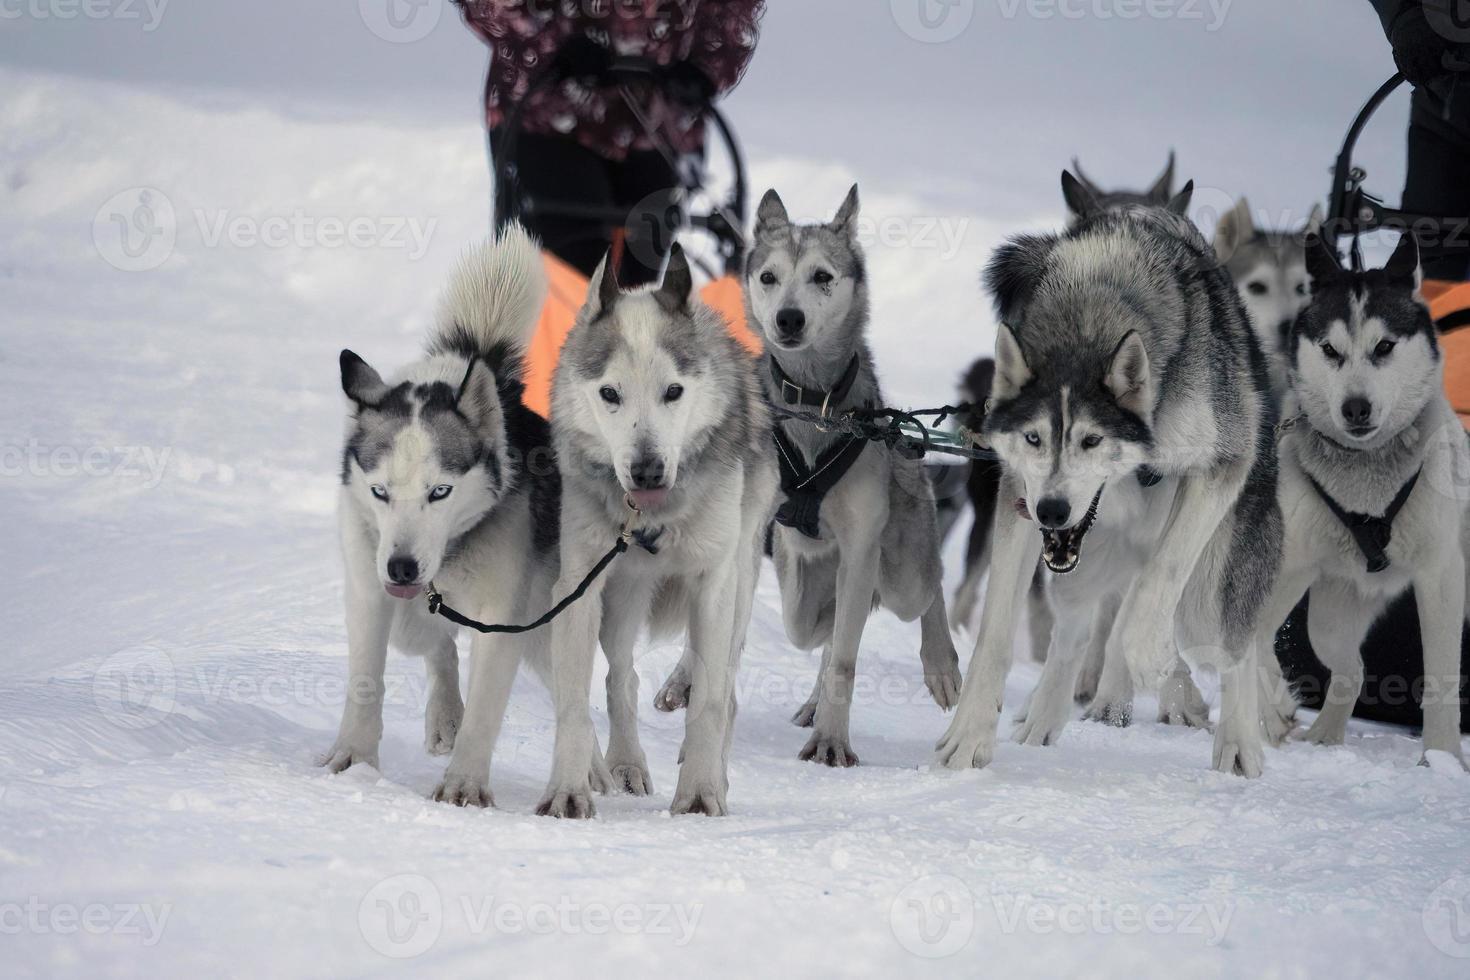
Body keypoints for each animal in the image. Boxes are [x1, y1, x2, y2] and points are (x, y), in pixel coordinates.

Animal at [535, 245, 776, 822]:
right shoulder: (579, 588)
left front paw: (701, 792)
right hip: (621, 599)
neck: (654, 520)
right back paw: (627, 762)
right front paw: (568, 791)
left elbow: (711, 701)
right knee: (621, 676)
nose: (646, 471)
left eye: (673, 391)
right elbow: (574, 702)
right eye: (609, 393)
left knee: (724, 684)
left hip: (739, 580)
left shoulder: (715, 581)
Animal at [746, 185, 964, 764]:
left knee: (926, 587)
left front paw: (831, 741)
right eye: (769, 276)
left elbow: (846, 658)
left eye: (822, 276)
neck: (812, 405)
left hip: (902, 570)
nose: (788, 318)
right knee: (820, 628)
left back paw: (941, 662)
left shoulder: (864, 544)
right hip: (810, 584)